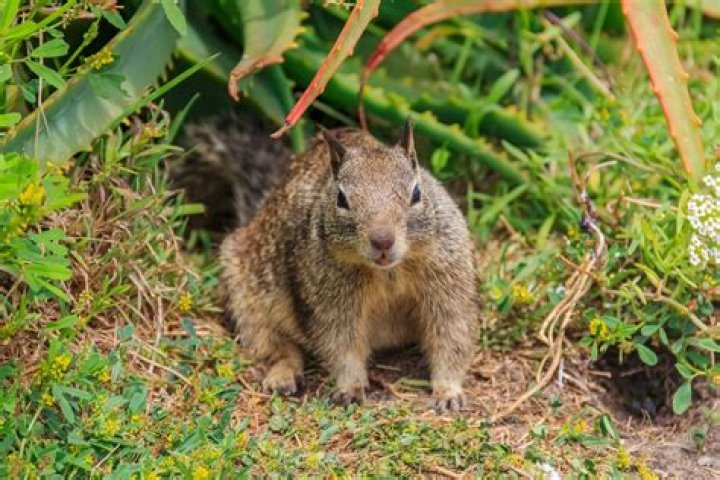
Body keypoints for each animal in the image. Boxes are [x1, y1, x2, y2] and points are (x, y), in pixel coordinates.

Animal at [220, 120, 478, 412]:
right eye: (341, 199)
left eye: (416, 193)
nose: (382, 240)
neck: (387, 271)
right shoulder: (330, 303)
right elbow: (341, 346)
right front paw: (350, 388)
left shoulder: (449, 284)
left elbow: (451, 338)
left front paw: (448, 392)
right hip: (248, 305)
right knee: (279, 348)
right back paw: (283, 377)